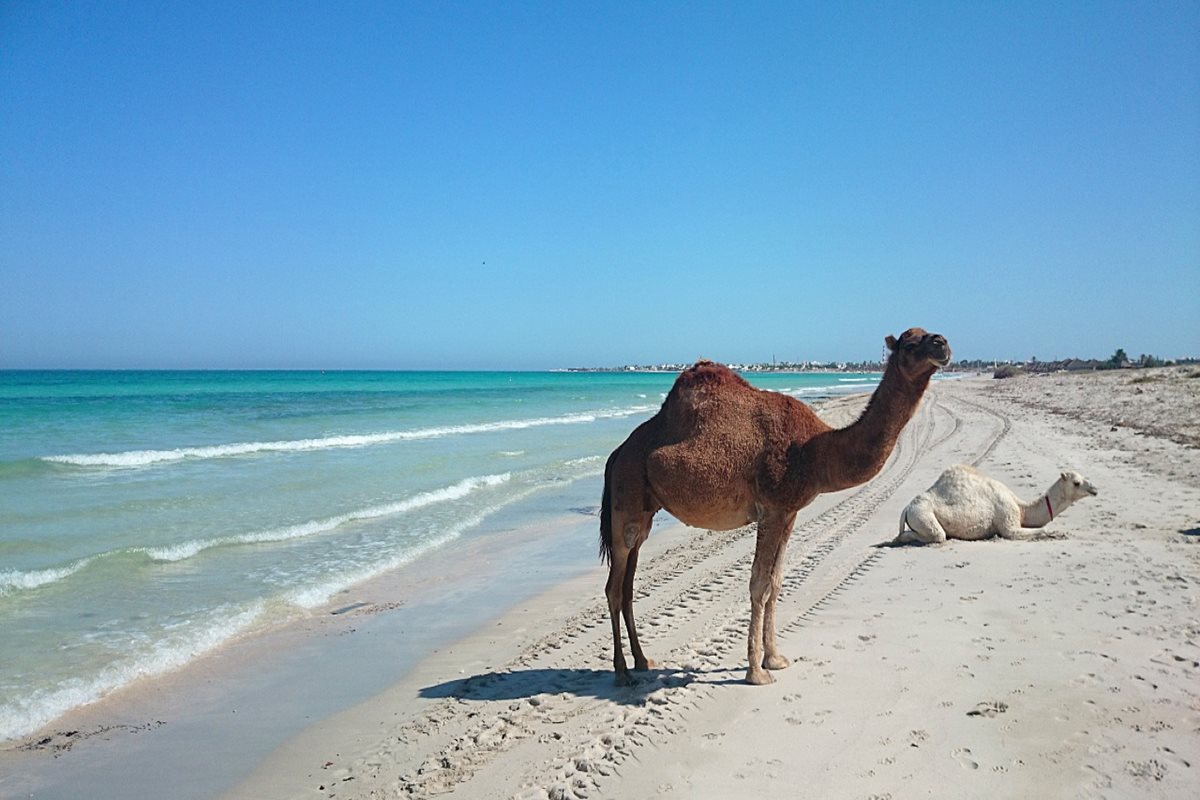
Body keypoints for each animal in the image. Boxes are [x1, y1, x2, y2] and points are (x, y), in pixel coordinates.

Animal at [597, 328, 945, 686]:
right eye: (910, 343)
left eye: (927, 335)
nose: (942, 345)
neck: (814, 452)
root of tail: (617, 454)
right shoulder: (772, 509)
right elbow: (759, 584)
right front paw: (756, 671)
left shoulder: (790, 512)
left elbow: (776, 582)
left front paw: (775, 658)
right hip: (626, 501)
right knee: (613, 588)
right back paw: (622, 673)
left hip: (644, 513)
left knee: (627, 585)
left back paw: (642, 661)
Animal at [892, 462, 1099, 544]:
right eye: (1076, 482)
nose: (1095, 489)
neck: (1022, 508)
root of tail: (906, 508)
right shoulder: (1009, 525)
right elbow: (1040, 530)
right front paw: (1056, 533)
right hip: (923, 515)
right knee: (936, 535)